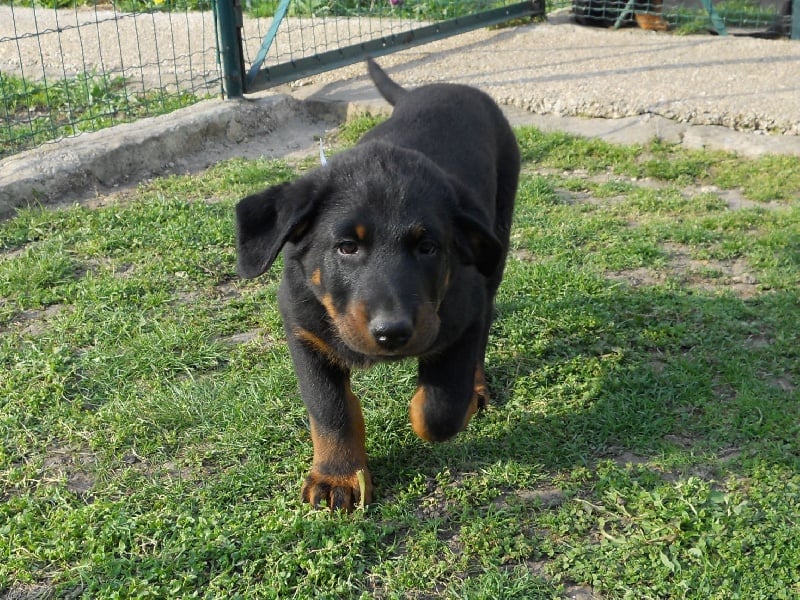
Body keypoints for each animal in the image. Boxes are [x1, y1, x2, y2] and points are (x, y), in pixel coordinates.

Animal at [234, 58, 520, 510]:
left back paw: (476, 389)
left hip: (496, 247)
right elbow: (330, 409)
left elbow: (439, 408)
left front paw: (441, 407)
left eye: (428, 247)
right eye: (347, 247)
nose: (393, 333)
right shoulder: (303, 331)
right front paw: (337, 475)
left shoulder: (464, 311)